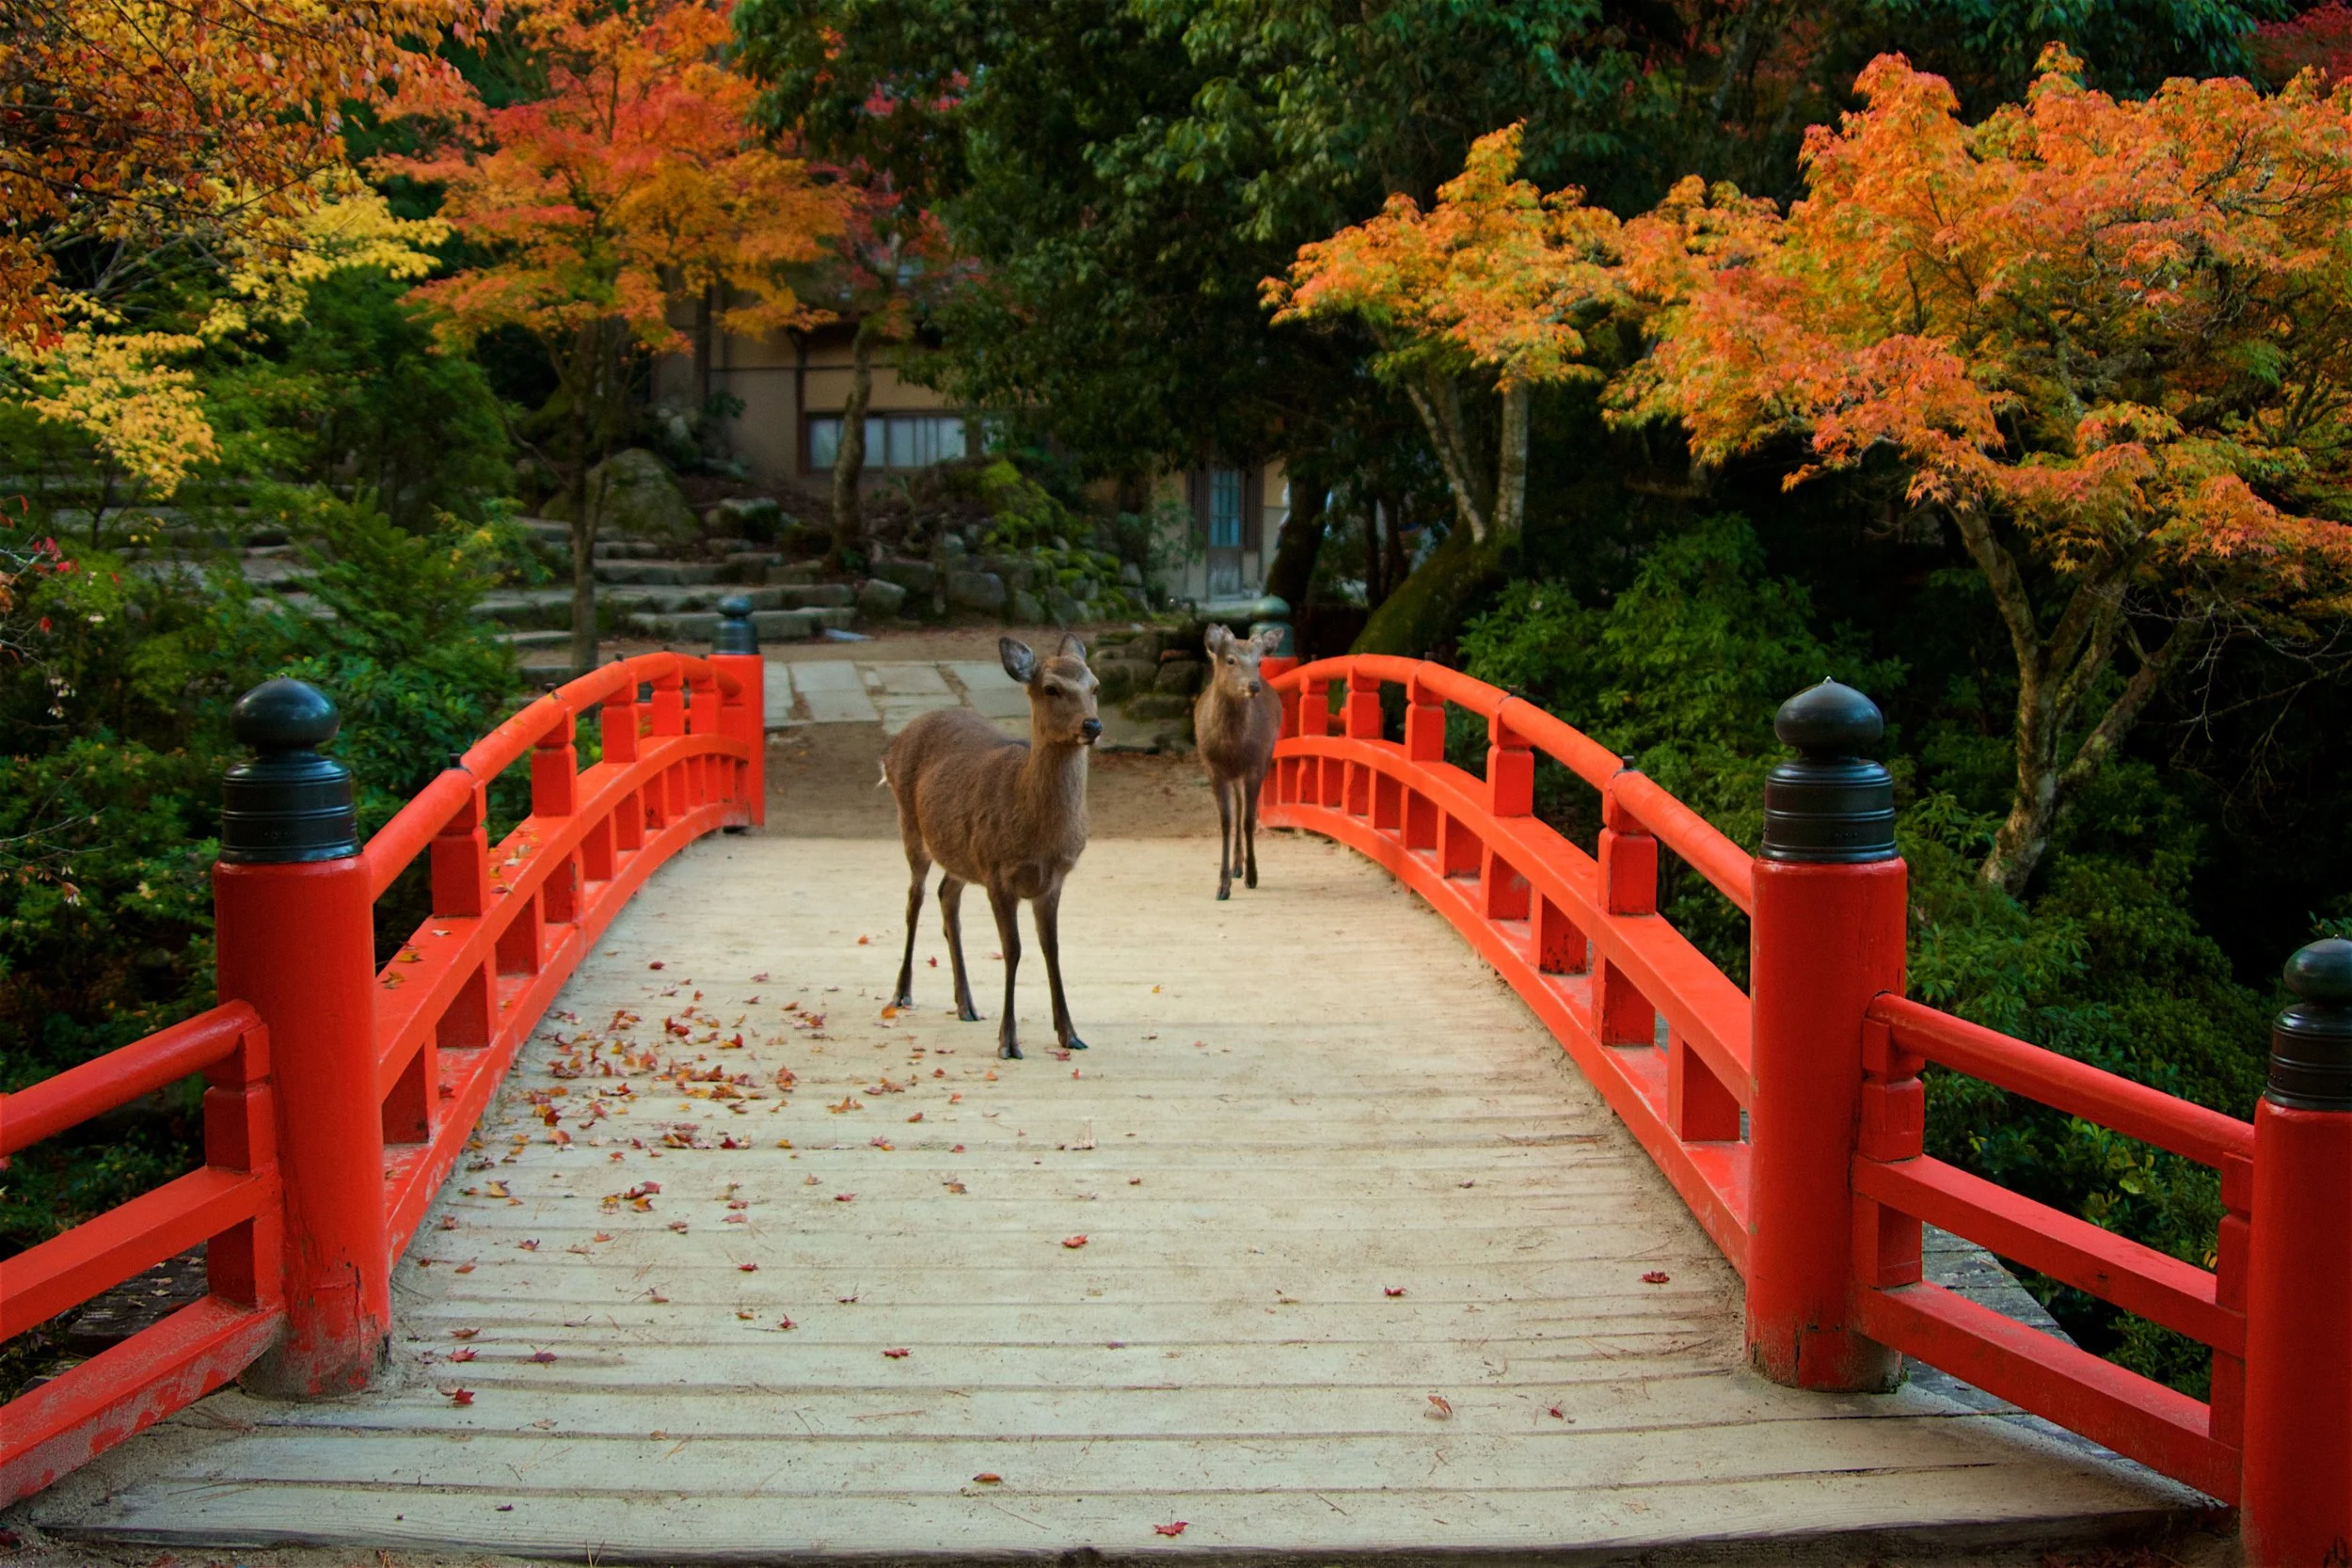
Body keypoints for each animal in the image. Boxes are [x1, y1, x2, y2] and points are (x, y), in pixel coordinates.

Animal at [882, 634, 1101, 1059]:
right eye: (1051, 688)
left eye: (1095, 686)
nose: (1093, 725)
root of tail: (892, 745)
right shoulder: (999, 873)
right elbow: (1012, 950)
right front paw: (1008, 1041)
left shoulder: (1053, 880)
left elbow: (1052, 948)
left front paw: (1070, 1033)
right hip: (911, 826)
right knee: (914, 900)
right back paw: (901, 993)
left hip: (961, 854)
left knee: (946, 896)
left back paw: (966, 1004)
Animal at [1194, 623, 1285, 900]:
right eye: (1231, 660)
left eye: (1260, 662)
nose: (1254, 685)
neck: (1231, 747)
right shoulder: (1213, 768)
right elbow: (1226, 821)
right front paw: (1222, 886)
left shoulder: (1255, 766)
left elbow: (1248, 820)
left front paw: (1252, 876)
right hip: (1234, 775)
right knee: (1239, 804)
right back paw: (1236, 866)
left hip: (1263, 758)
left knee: (1245, 808)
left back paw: (1241, 868)